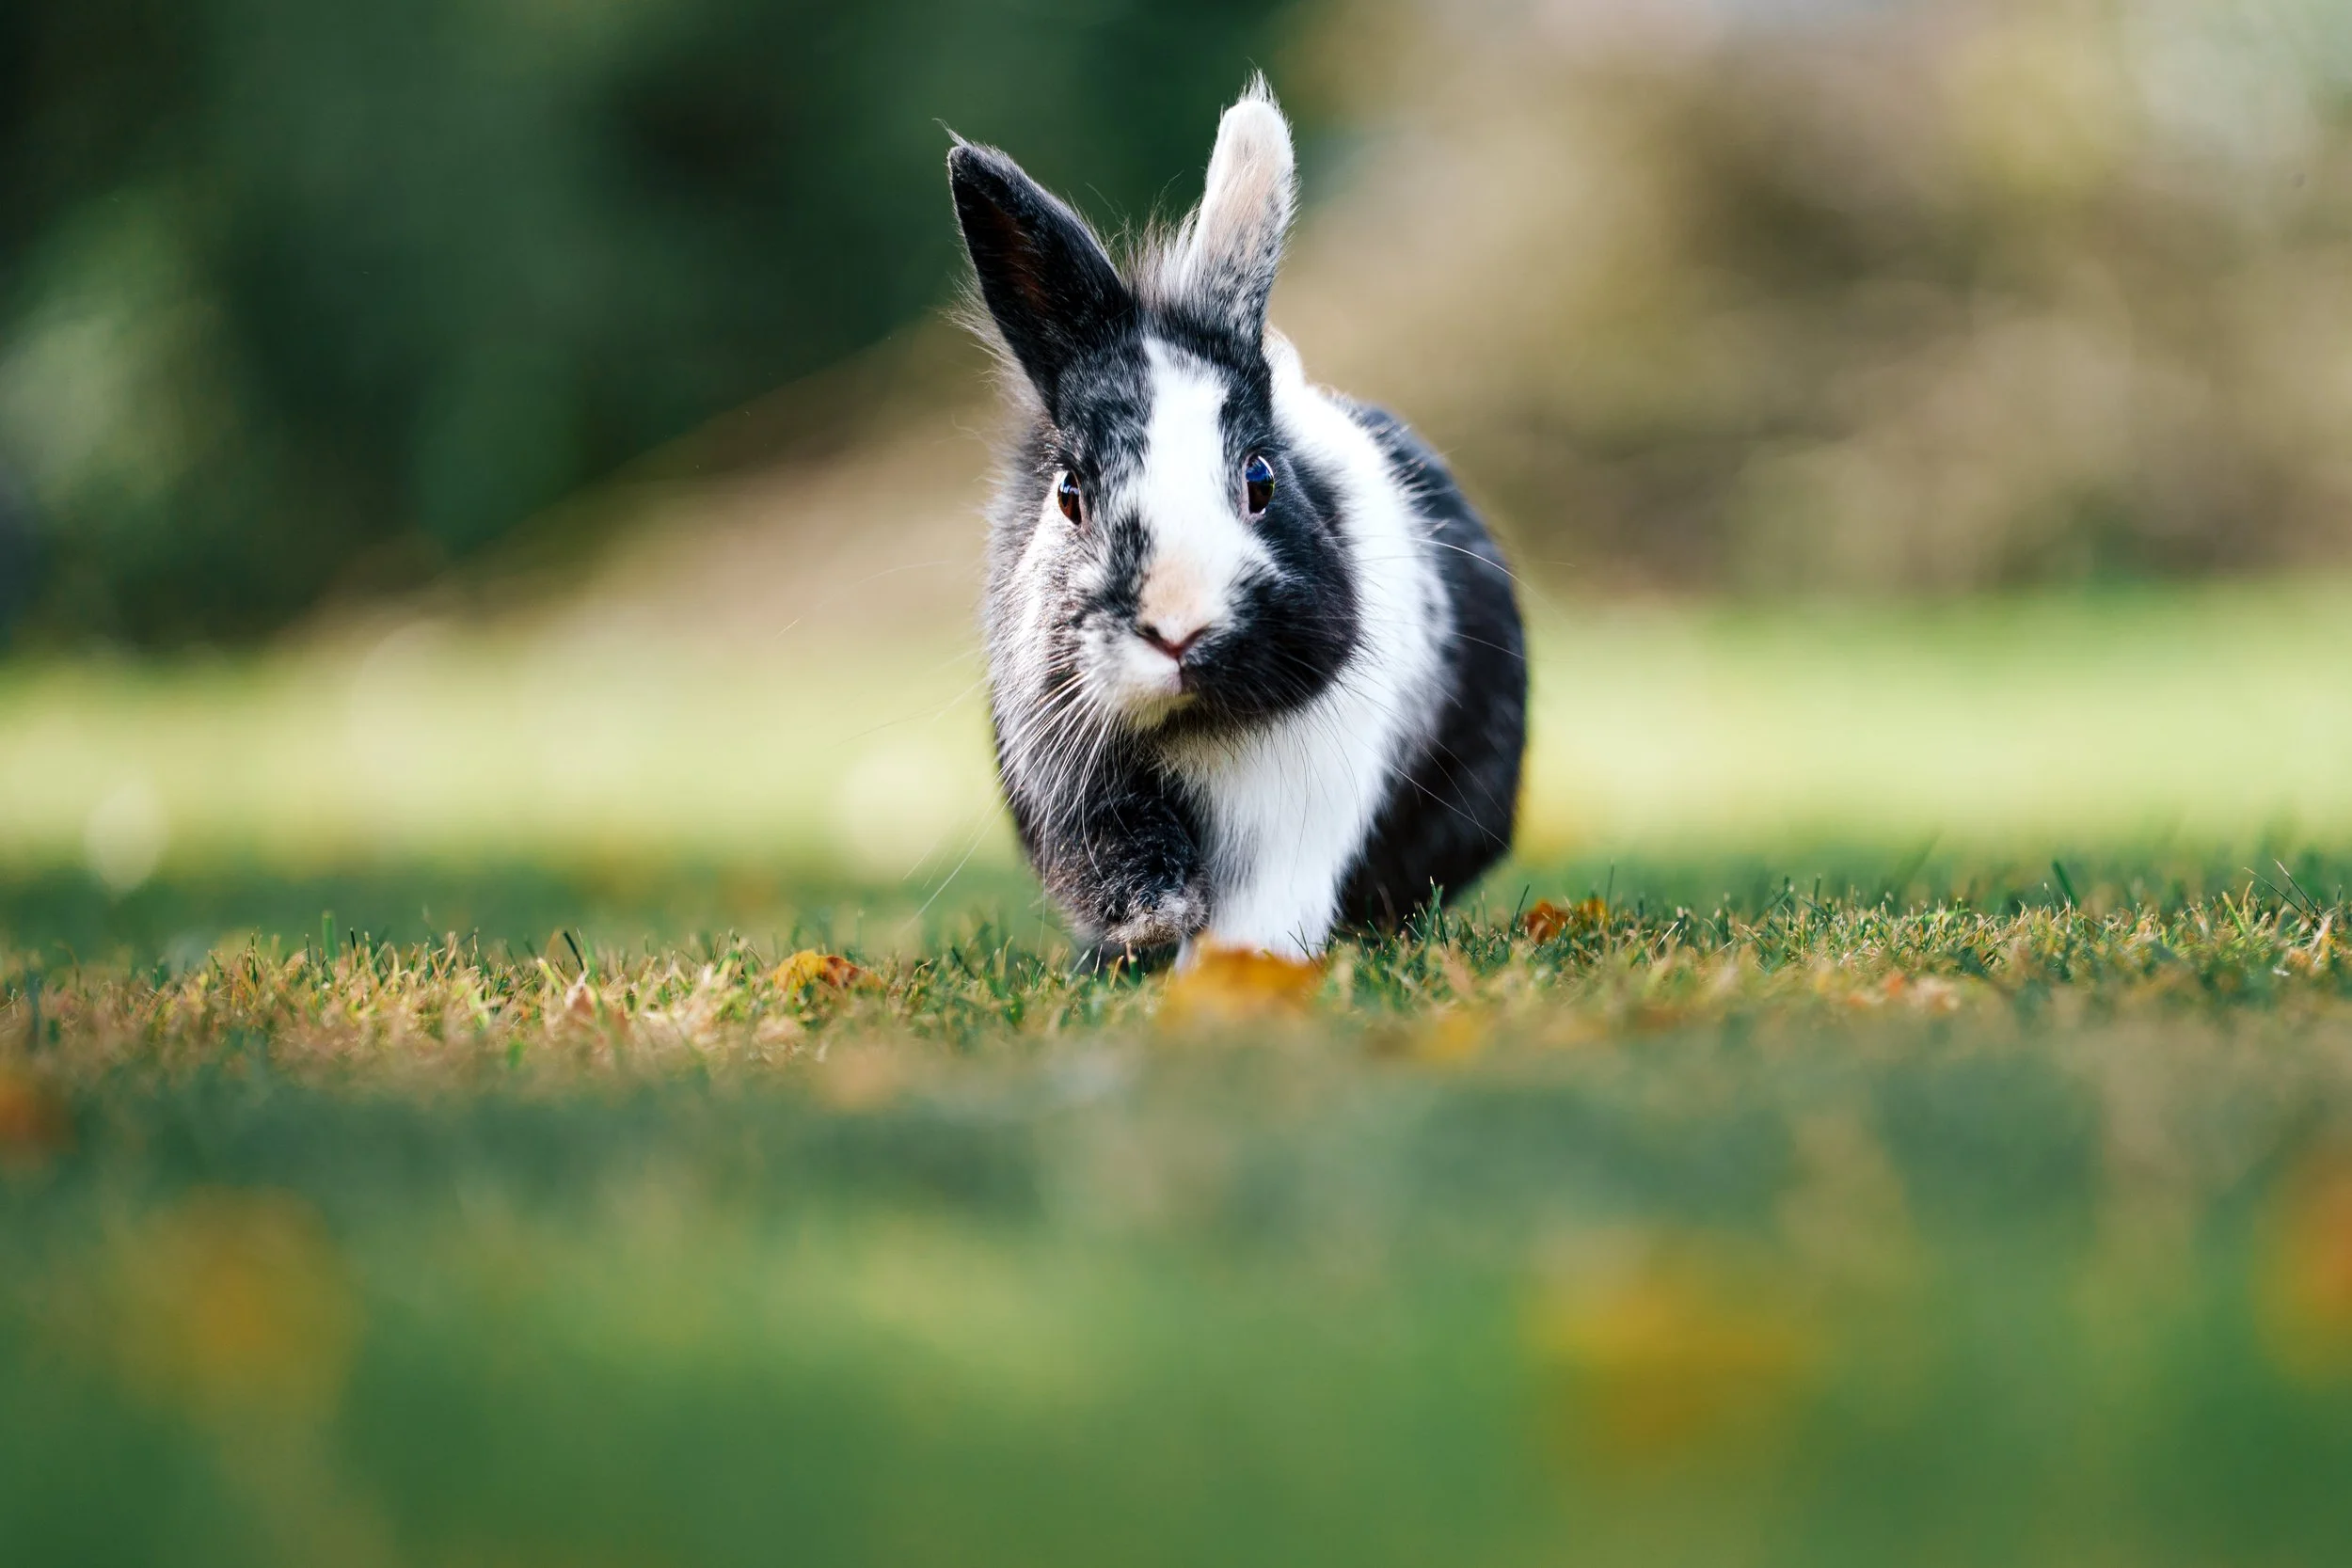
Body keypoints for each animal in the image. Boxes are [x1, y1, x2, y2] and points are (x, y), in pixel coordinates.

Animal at [947, 78, 1525, 968]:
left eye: (1260, 477)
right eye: (1071, 492)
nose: (1178, 628)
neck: (1192, 726)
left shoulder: (1295, 811)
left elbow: (1261, 904)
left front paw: (1226, 970)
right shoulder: (1072, 778)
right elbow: (1121, 859)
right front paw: (1155, 923)